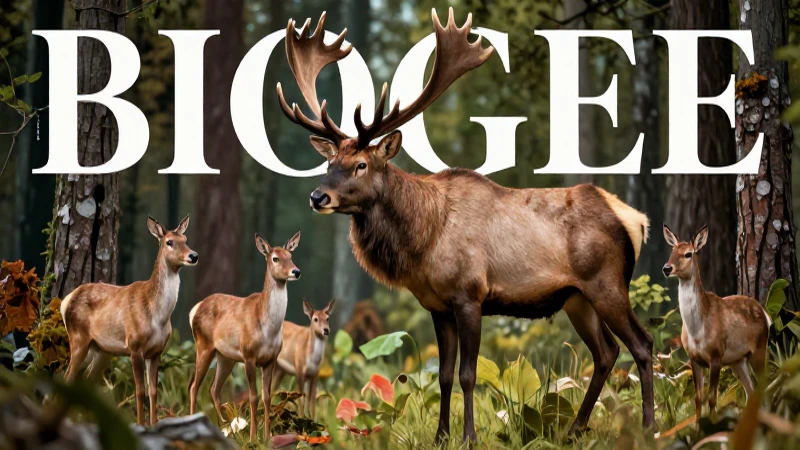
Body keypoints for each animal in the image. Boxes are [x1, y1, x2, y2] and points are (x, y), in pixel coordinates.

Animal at [60, 215, 197, 426]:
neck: (157, 316)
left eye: (185, 239)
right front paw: (140, 424)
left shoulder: (157, 351)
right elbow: (140, 392)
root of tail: (65, 301)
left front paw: (154, 424)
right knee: (67, 378)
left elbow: (153, 392)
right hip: (78, 339)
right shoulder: (134, 347)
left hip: (100, 350)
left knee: (84, 382)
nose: (193, 255)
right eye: (169, 242)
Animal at [188, 232, 301, 442]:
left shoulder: (271, 359)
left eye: (290, 256)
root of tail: (194, 309)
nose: (296, 271)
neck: (268, 328)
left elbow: (267, 396)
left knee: (213, 389)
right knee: (193, 386)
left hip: (225, 357)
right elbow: (253, 397)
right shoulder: (249, 355)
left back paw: (225, 428)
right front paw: (253, 437)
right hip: (203, 345)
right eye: (275, 258)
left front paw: (267, 435)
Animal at [276, 9, 655, 443]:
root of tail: (637, 219)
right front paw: (441, 437)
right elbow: (442, 375)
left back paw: (649, 427)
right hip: (577, 297)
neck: (423, 242)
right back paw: (573, 430)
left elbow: (468, 374)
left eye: (361, 165)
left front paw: (469, 437)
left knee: (642, 344)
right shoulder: (436, 305)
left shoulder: (470, 294)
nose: (317, 197)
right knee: (606, 352)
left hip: (607, 283)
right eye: (329, 162)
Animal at [662, 225, 770, 423]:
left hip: (760, 347)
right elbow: (698, 399)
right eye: (672, 250)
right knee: (751, 392)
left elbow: (712, 399)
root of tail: (765, 313)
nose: (667, 268)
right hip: (738, 360)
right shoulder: (693, 358)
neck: (697, 331)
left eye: (688, 254)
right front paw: (697, 428)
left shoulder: (716, 355)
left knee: (764, 387)